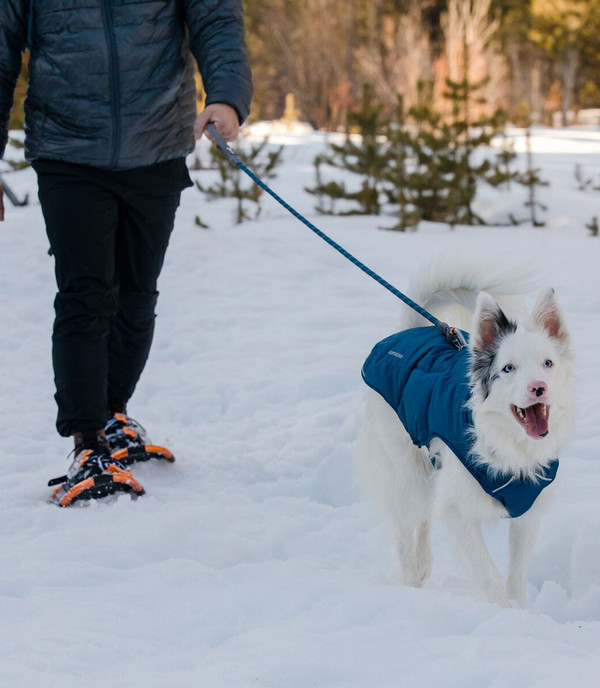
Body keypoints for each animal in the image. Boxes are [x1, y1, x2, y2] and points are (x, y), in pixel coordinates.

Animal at [358, 264, 576, 608]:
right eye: (509, 368)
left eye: (548, 363)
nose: (538, 387)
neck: (511, 446)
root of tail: (408, 331)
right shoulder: (457, 510)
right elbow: (487, 574)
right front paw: (502, 612)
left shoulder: (528, 513)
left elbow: (517, 574)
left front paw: (520, 611)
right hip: (406, 470)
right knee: (406, 527)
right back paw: (410, 581)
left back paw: (423, 565)